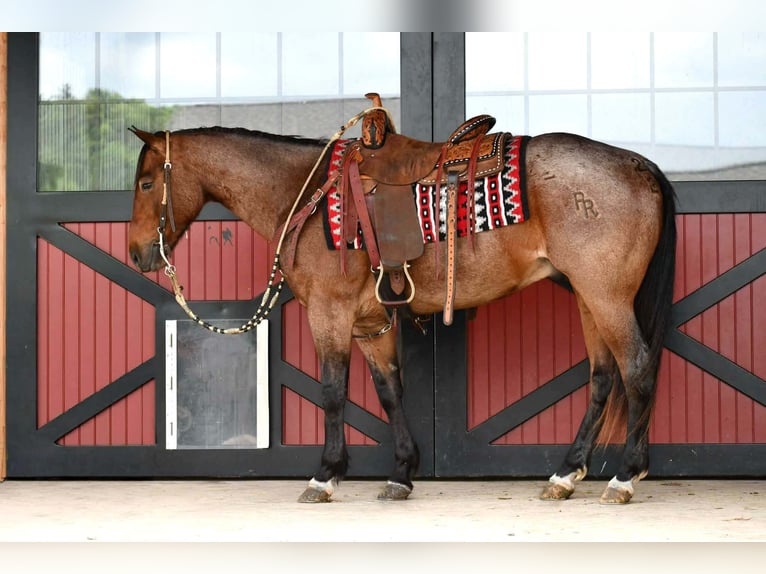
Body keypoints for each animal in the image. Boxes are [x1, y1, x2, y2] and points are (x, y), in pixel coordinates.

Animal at [127, 110, 676, 505]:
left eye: (147, 184)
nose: (136, 254)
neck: (304, 192)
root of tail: (639, 164)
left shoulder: (329, 314)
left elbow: (333, 392)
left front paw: (325, 476)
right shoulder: (372, 323)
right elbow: (389, 392)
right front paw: (402, 474)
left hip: (606, 297)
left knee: (638, 370)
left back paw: (625, 477)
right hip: (588, 297)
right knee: (603, 378)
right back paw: (565, 474)